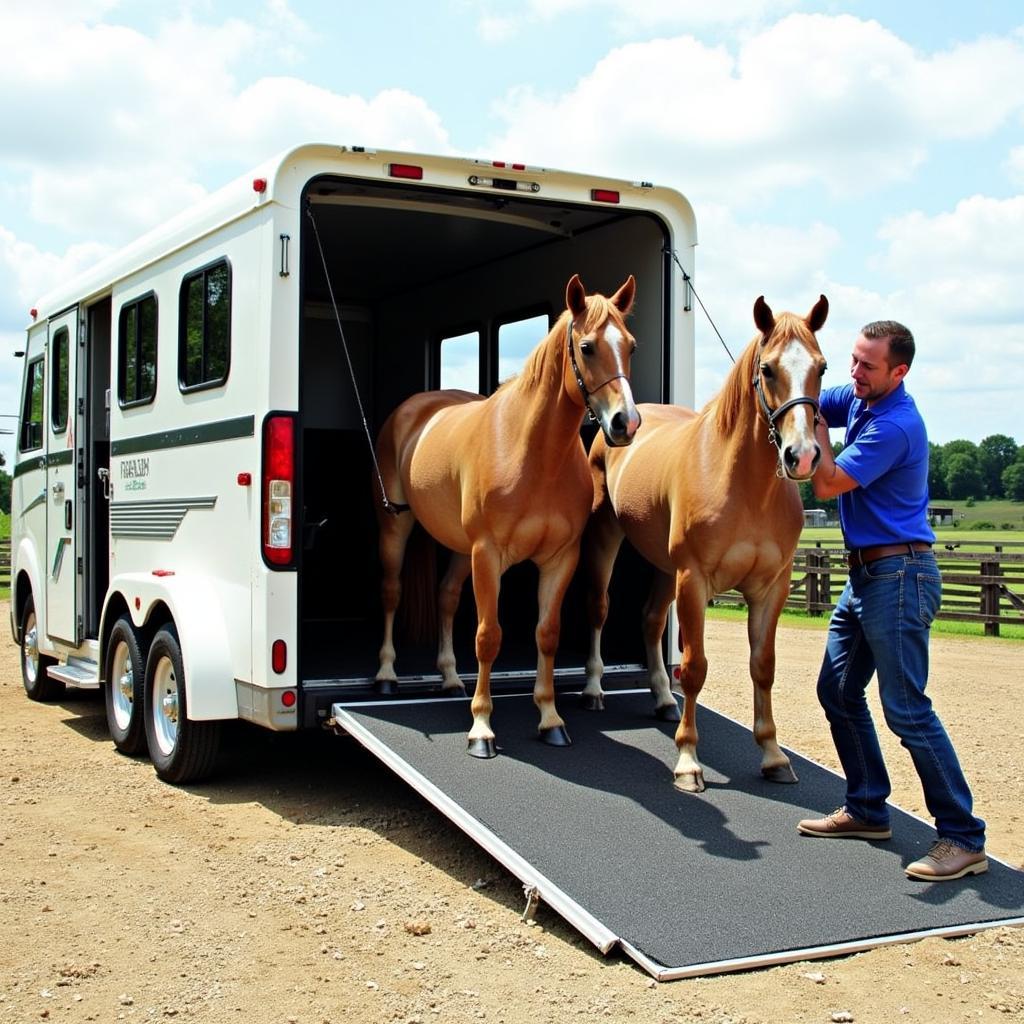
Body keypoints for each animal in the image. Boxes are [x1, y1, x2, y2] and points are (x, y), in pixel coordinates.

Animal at [372, 276, 643, 757]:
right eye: (587, 346)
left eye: (629, 345)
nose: (624, 424)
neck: (532, 453)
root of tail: (413, 410)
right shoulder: (489, 555)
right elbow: (488, 635)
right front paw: (481, 727)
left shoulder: (560, 559)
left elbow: (547, 633)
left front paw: (551, 719)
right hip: (397, 527)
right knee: (390, 592)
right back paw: (386, 675)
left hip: (460, 549)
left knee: (446, 597)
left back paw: (449, 677)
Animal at [581, 296, 827, 790]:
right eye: (768, 369)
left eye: (822, 367)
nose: (802, 455)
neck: (744, 486)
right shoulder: (694, 582)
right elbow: (695, 668)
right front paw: (688, 760)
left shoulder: (771, 588)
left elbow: (763, 666)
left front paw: (773, 756)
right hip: (607, 539)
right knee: (599, 609)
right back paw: (594, 688)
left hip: (663, 567)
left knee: (651, 620)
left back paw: (662, 699)